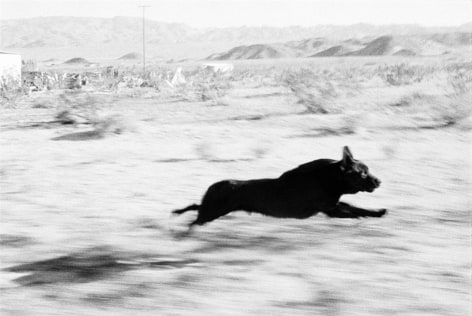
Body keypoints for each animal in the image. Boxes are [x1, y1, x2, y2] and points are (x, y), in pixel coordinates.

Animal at [173, 146, 388, 227]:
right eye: (362, 172)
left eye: (367, 170)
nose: (379, 181)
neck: (330, 179)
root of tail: (214, 186)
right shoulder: (331, 209)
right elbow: (354, 211)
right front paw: (366, 216)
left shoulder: (333, 206)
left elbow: (357, 208)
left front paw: (377, 212)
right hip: (212, 212)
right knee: (194, 220)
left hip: (213, 210)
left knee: (195, 207)